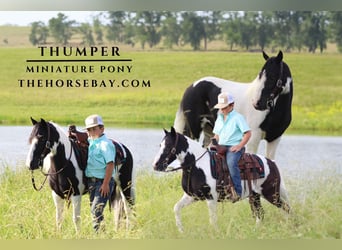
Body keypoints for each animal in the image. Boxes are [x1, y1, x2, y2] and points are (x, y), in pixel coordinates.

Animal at [154, 128, 290, 233]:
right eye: (160, 145)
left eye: (168, 146)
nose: (155, 165)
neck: (197, 166)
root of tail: (272, 163)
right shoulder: (192, 196)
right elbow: (176, 208)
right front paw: (181, 230)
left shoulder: (211, 198)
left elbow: (212, 219)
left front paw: (215, 233)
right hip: (255, 196)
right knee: (260, 214)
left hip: (271, 194)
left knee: (286, 208)